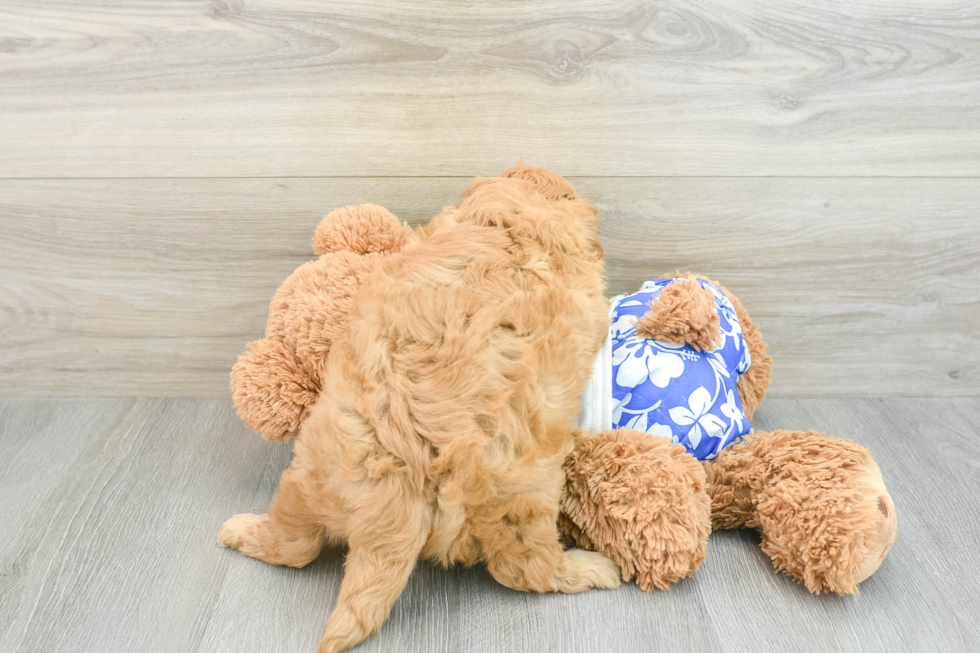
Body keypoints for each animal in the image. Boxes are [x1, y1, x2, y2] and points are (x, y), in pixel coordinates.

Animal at [222, 167, 620, 652]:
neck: (512, 222)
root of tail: (402, 481)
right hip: (524, 496)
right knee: (526, 570)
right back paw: (593, 569)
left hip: (312, 474)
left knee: (295, 544)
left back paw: (242, 531)